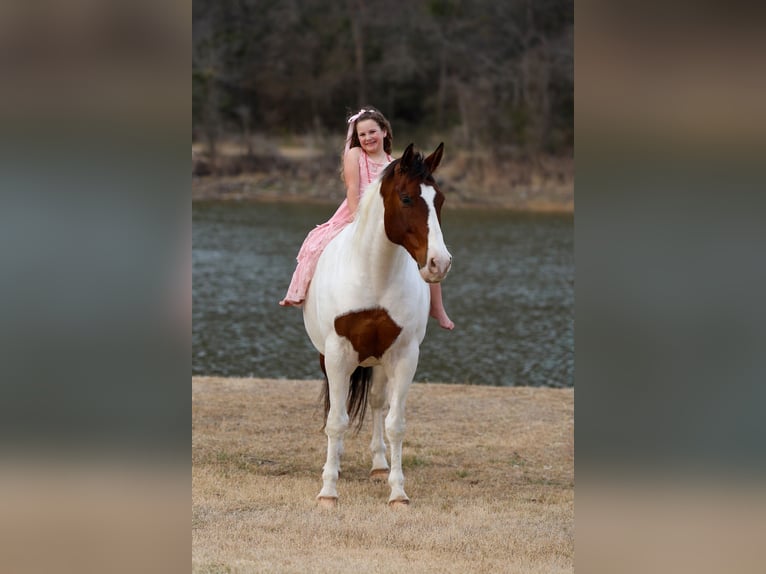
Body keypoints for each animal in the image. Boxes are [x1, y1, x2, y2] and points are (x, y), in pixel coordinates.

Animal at [302, 142, 452, 508]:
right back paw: (337, 463)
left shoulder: (404, 355)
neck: (373, 275)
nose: (439, 263)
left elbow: (395, 423)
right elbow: (336, 420)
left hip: (379, 362)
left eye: (440, 199)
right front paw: (328, 490)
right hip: (331, 358)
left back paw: (379, 465)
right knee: (336, 407)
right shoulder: (338, 353)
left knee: (376, 403)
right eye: (407, 198)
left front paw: (398, 491)